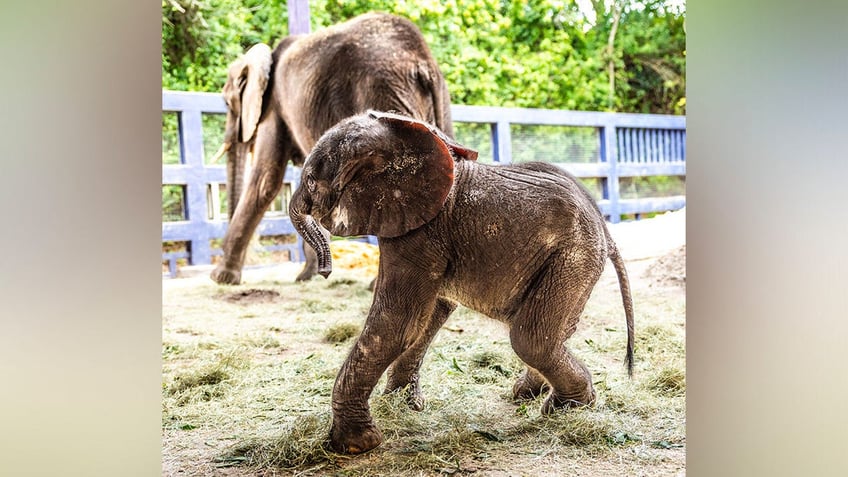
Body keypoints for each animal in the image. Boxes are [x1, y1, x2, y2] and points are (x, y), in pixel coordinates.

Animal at [210, 13, 454, 284]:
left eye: (227, 103)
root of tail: (421, 61)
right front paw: (307, 277)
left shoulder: (274, 105)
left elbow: (265, 180)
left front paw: (221, 278)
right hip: (436, 99)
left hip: (382, 90)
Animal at [288, 109, 632, 452]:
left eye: (311, 180)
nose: (325, 271)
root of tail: (606, 231)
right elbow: (429, 316)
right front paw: (402, 406)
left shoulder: (421, 232)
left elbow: (399, 322)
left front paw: (355, 444)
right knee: (555, 330)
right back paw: (528, 393)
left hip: (572, 256)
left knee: (530, 338)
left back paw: (566, 407)